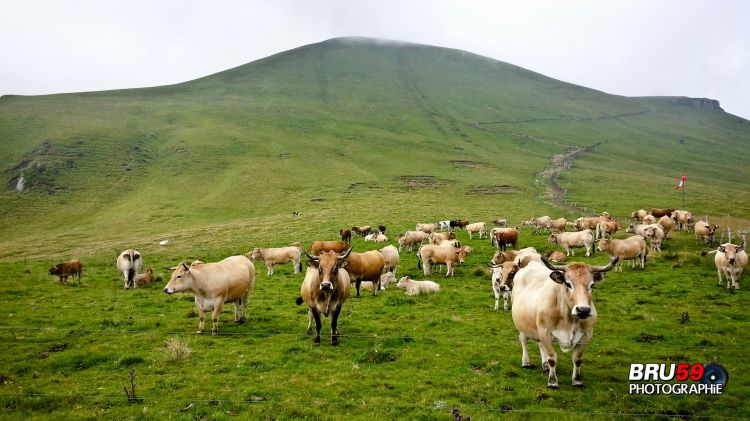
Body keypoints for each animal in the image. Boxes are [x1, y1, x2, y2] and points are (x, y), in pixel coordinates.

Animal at [516, 254, 620, 386]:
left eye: (592, 285)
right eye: (568, 284)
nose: (583, 310)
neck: (569, 320)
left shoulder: (587, 335)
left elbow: (577, 359)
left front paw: (577, 380)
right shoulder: (545, 332)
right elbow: (552, 358)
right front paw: (553, 381)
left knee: (540, 344)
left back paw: (544, 365)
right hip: (523, 325)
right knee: (523, 340)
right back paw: (526, 362)